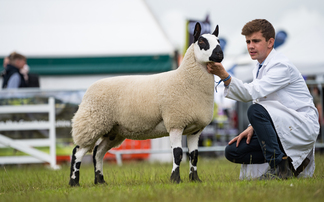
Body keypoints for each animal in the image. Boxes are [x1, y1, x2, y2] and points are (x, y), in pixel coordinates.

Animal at [68, 22, 223, 186]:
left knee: (98, 152)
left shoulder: (195, 129)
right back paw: (74, 182)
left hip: (113, 131)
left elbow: (194, 155)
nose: (220, 54)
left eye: (218, 41)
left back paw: (100, 181)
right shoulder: (175, 123)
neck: (185, 79)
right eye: (202, 41)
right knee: (77, 152)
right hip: (91, 123)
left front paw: (195, 179)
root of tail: (88, 90)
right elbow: (178, 153)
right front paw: (175, 179)